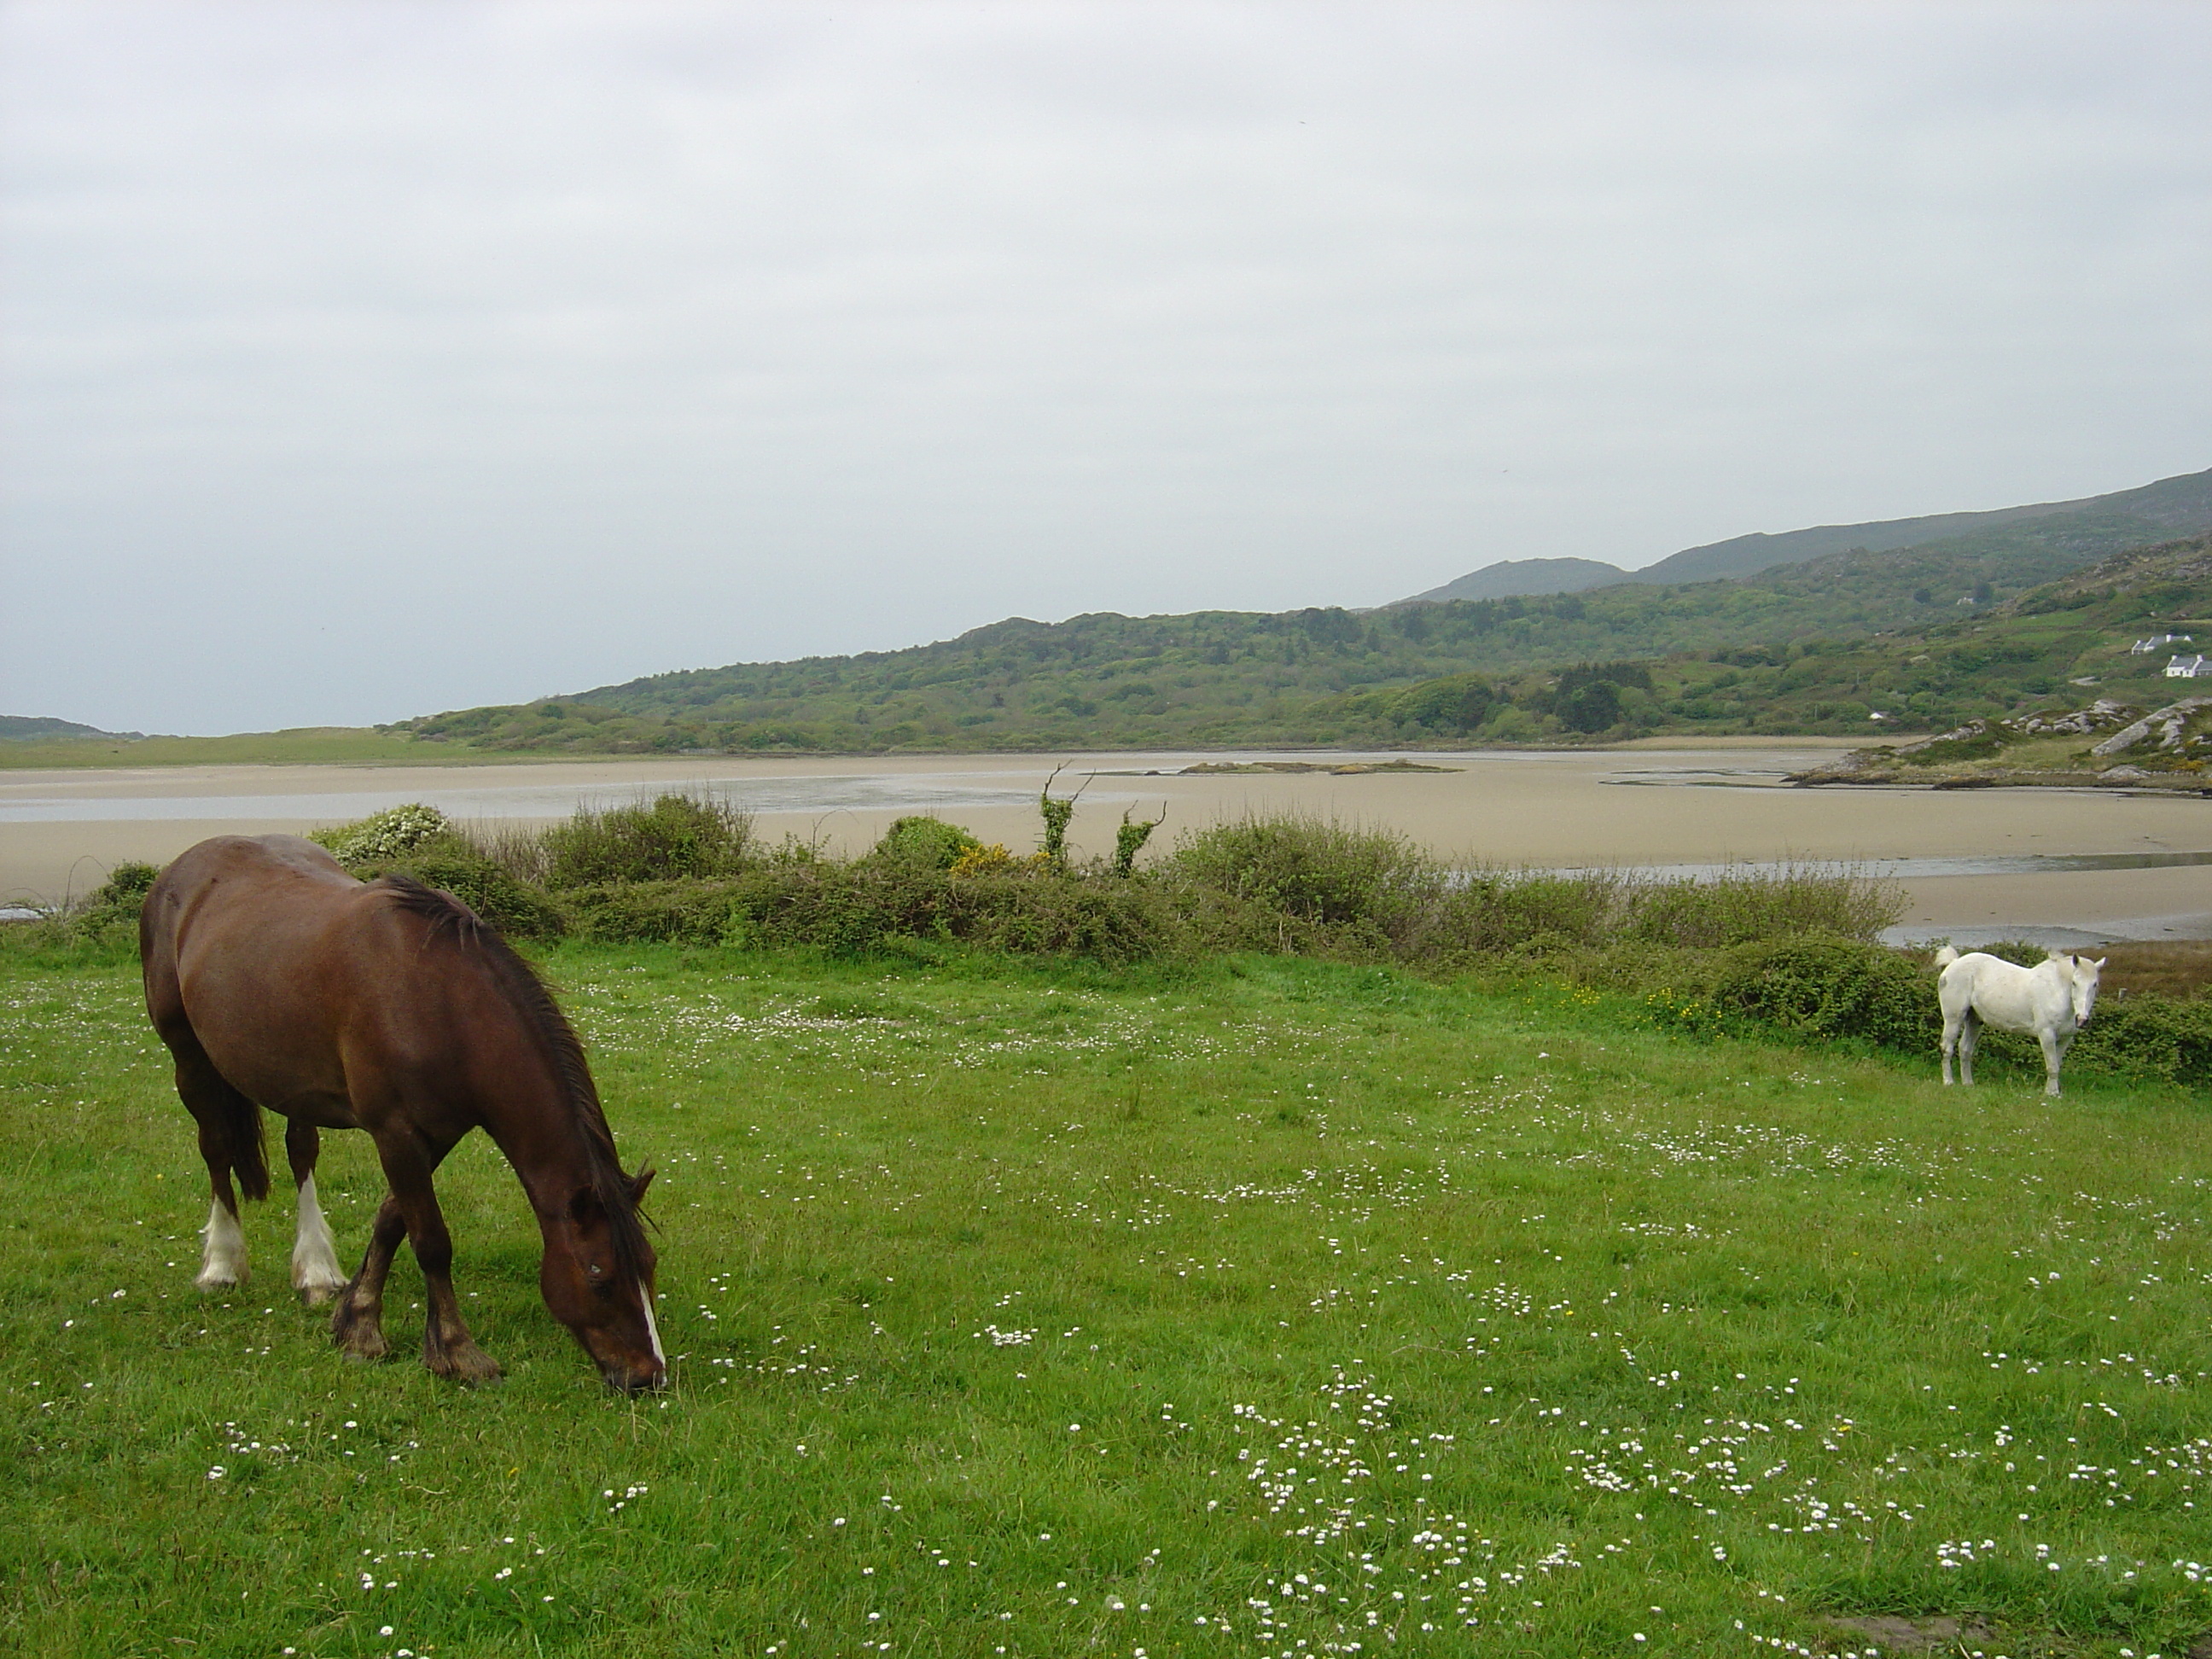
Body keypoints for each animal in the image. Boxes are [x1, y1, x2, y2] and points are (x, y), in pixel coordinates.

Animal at [140, 835, 663, 1398]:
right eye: (599, 1276)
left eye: (649, 1267)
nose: (648, 1376)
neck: (438, 1001)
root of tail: (181, 868)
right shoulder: (395, 1132)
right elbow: (431, 1241)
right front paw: (456, 1351)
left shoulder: (437, 1134)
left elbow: (392, 1219)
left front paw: (358, 1323)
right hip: (189, 1057)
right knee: (215, 1147)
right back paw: (222, 1265)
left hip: (293, 1082)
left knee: (301, 1152)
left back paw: (316, 1272)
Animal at [1937, 946, 2105, 1106]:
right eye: (2074, 983)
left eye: (2095, 984)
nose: (2082, 1019)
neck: (2056, 990)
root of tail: (1953, 963)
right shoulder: (2047, 1035)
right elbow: (2052, 1066)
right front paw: (2051, 1093)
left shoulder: (2065, 1039)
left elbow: (2057, 1064)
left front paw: (2054, 1092)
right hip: (1954, 1019)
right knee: (1947, 1048)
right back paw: (1948, 1082)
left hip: (1974, 1020)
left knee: (1965, 1049)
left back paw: (1968, 1083)